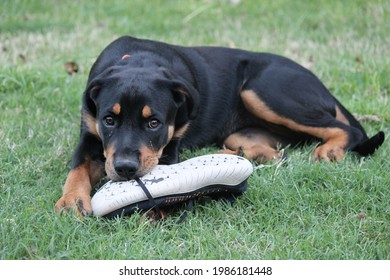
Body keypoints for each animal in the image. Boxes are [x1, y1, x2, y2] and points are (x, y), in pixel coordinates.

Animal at [54, 36, 384, 215]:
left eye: (154, 123)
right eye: (108, 120)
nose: (124, 169)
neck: (138, 61)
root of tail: (319, 82)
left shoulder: (169, 147)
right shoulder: (89, 134)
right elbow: (77, 167)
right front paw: (72, 201)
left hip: (262, 89)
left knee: (348, 130)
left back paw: (330, 151)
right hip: (244, 126)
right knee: (276, 151)